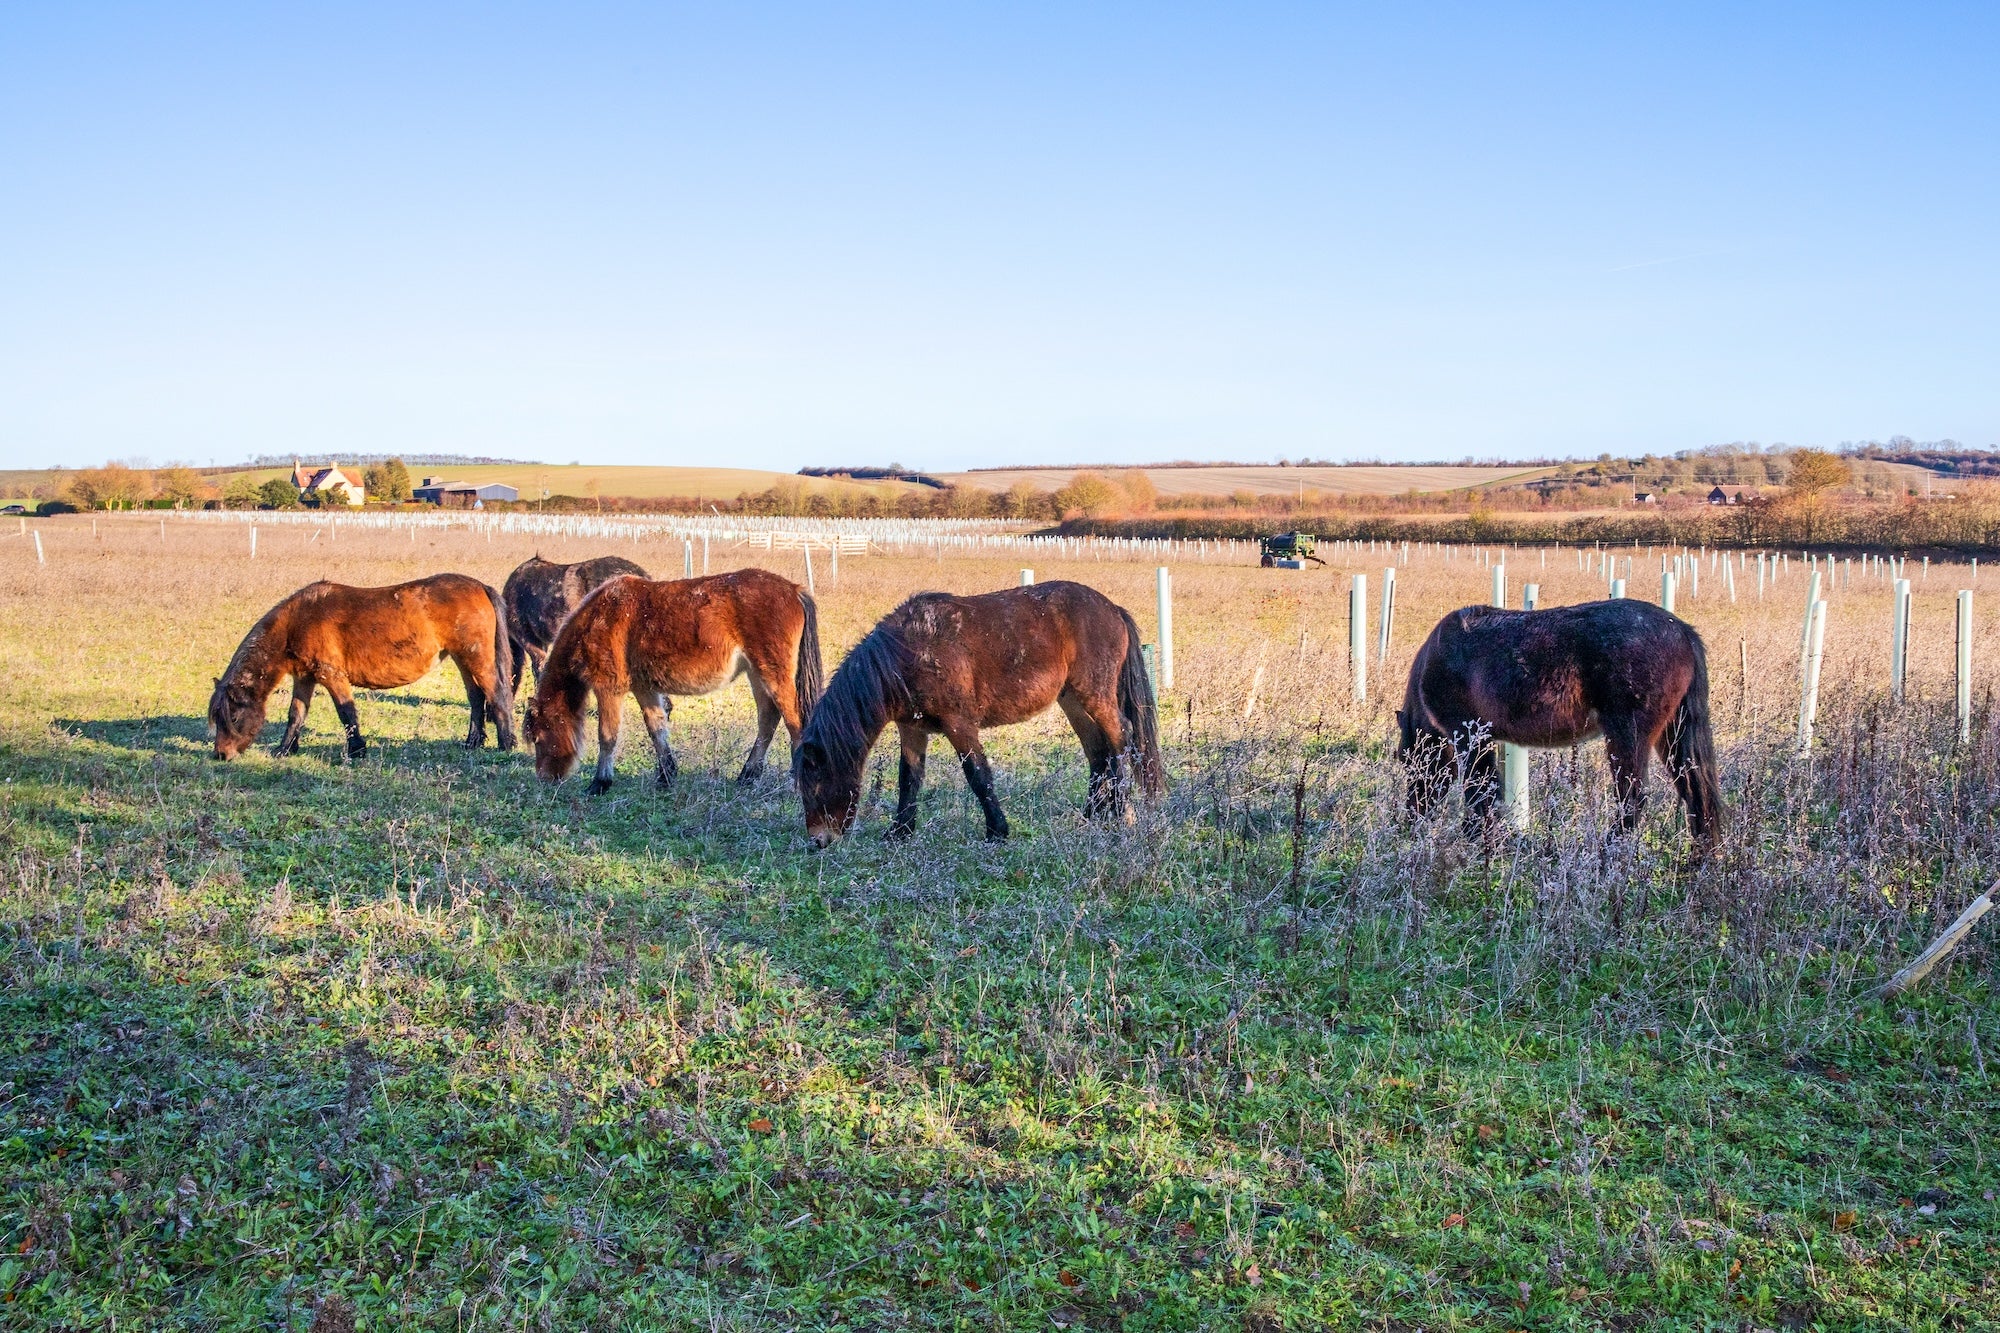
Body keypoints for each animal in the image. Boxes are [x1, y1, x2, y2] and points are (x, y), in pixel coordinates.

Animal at [209, 575, 516, 760]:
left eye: (232, 717)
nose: (222, 755)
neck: (297, 621)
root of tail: (480, 587)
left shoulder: (331, 675)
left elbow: (346, 713)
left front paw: (357, 750)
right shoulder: (305, 677)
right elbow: (296, 714)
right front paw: (285, 749)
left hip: (476, 659)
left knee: (497, 695)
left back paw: (506, 745)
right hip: (462, 659)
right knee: (476, 698)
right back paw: (472, 742)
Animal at [523, 568, 823, 793]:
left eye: (538, 738)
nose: (545, 778)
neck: (599, 616)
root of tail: (794, 590)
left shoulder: (609, 689)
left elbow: (607, 735)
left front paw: (600, 783)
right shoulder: (643, 689)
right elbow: (656, 729)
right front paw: (666, 776)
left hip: (773, 675)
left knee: (795, 725)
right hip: (757, 675)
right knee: (767, 720)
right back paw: (746, 776)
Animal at [796, 580, 1165, 848]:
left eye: (814, 787)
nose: (817, 842)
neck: (907, 652)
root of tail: (1113, 609)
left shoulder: (959, 724)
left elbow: (978, 775)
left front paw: (997, 831)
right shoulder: (912, 729)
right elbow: (909, 778)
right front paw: (900, 831)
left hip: (1095, 695)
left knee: (1120, 739)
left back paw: (1121, 812)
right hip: (1072, 700)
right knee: (1098, 751)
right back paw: (1090, 815)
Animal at [1396, 599, 1721, 849]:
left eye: (1407, 760)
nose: (1409, 823)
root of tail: (1682, 631)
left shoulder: (1469, 736)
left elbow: (1481, 792)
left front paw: (1482, 840)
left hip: (1628, 736)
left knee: (1632, 799)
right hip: (1671, 737)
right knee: (1696, 793)